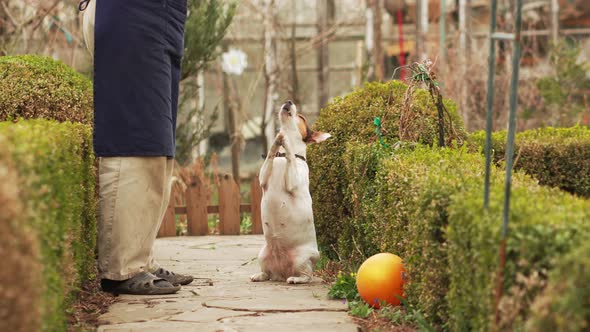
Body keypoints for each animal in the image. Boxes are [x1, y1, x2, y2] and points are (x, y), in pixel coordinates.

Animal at [251, 100, 332, 284]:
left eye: (301, 117)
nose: (288, 101)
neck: (281, 159)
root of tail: (281, 273)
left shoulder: (292, 180)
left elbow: (290, 157)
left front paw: (286, 142)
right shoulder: (263, 178)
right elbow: (270, 155)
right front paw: (277, 140)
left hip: (303, 259)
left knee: (308, 276)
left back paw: (297, 279)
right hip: (262, 254)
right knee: (266, 273)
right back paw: (260, 275)